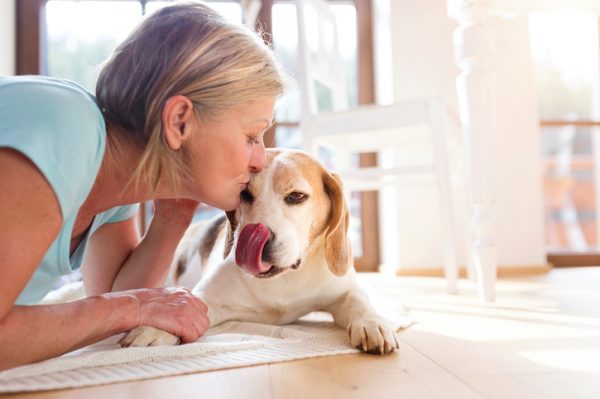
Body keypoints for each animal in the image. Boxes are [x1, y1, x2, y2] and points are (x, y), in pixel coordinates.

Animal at [122, 149, 400, 354]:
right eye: (244, 193)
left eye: (297, 196)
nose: (258, 241)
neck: (286, 278)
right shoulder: (208, 296)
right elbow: (187, 306)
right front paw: (158, 328)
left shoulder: (342, 290)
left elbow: (358, 299)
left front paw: (372, 323)